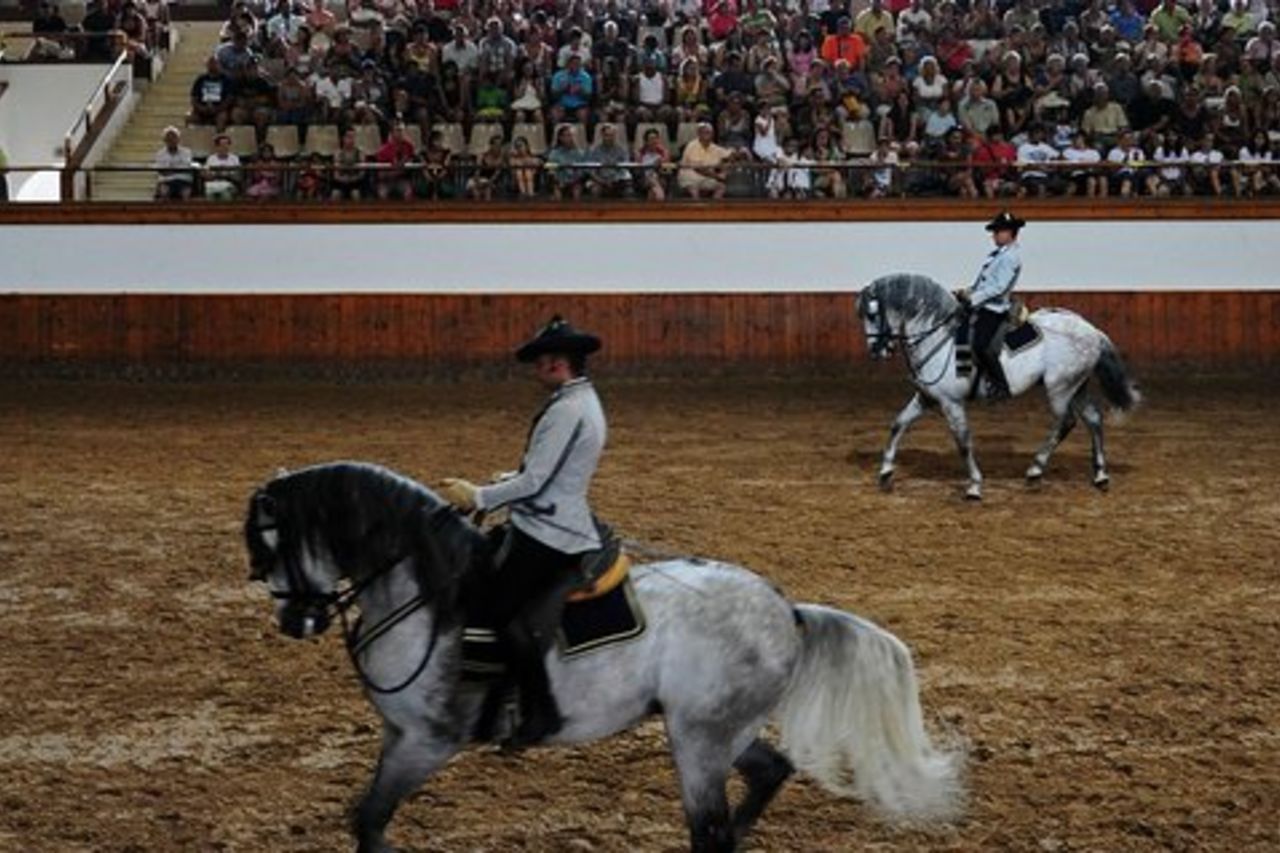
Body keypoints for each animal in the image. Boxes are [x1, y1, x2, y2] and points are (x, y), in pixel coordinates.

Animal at [243, 461, 964, 853]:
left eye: (270, 545)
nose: (294, 620)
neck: (430, 592)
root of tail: (784, 610)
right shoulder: (398, 736)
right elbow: (366, 819)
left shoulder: (428, 740)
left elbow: (370, 821)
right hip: (719, 731)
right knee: (767, 776)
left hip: (699, 739)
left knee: (709, 831)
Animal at [857, 274, 1141, 500]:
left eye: (872, 314)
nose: (876, 351)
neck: (939, 336)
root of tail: (1092, 331)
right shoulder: (927, 397)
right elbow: (898, 424)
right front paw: (885, 473)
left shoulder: (951, 402)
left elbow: (963, 442)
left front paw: (974, 486)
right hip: (1076, 387)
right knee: (1093, 419)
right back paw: (1100, 476)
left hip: (1059, 388)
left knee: (1066, 422)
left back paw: (1035, 470)